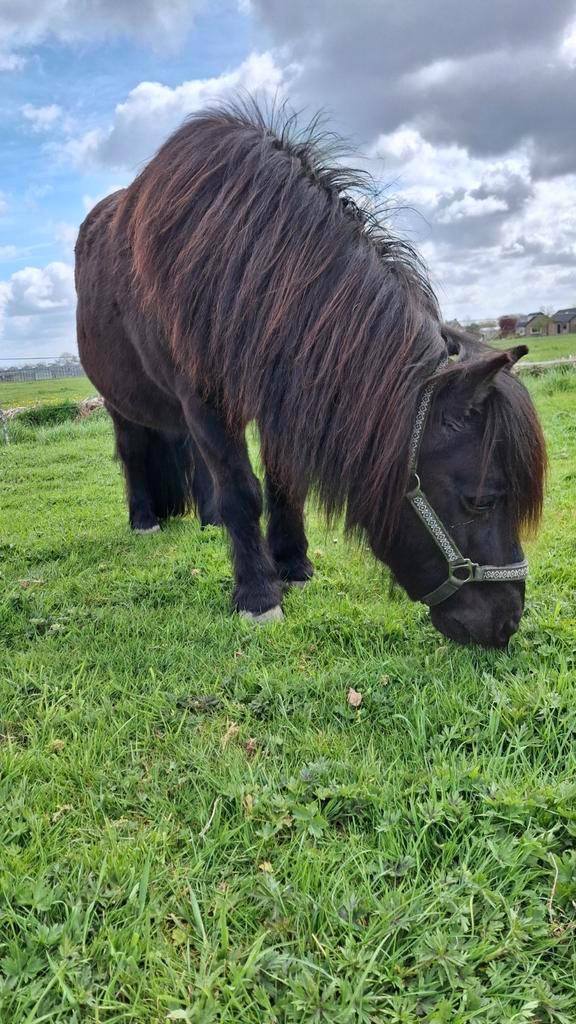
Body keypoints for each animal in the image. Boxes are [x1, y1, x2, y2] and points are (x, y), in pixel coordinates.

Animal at [75, 99, 546, 648]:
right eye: (481, 500)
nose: (506, 622)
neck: (243, 256)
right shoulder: (206, 399)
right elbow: (243, 491)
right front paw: (258, 596)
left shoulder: (281, 392)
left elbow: (285, 484)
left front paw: (293, 565)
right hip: (119, 400)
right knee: (133, 453)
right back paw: (145, 519)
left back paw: (209, 522)